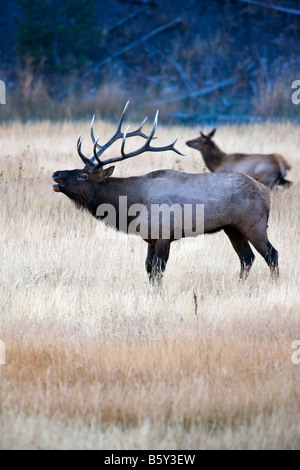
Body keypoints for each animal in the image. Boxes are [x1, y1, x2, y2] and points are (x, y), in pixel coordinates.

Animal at [52, 102, 278, 282]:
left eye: (83, 175)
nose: (55, 175)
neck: (132, 207)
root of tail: (266, 192)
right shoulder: (150, 238)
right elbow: (148, 269)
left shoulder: (164, 235)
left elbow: (158, 271)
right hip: (232, 227)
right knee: (247, 258)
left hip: (254, 224)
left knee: (271, 254)